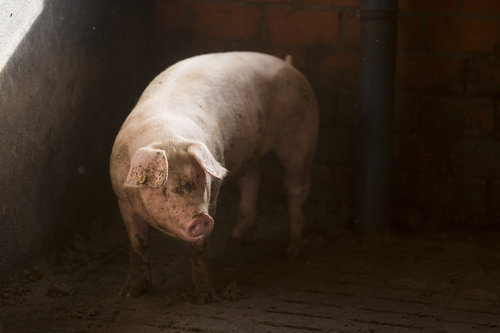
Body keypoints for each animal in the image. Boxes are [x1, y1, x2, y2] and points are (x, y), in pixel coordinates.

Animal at [111, 52, 318, 298]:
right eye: (161, 186)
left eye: (200, 175)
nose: (200, 218)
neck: (167, 136)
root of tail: (288, 64)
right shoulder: (122, 199)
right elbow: (137, 244)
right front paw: (128, 293)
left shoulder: (212, 197)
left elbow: (199, 249)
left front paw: (203, 297)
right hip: (251, 151)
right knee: (252, 180)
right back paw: (235, 240)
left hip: (300, 140)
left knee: (296, 190)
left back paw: (292, 254)